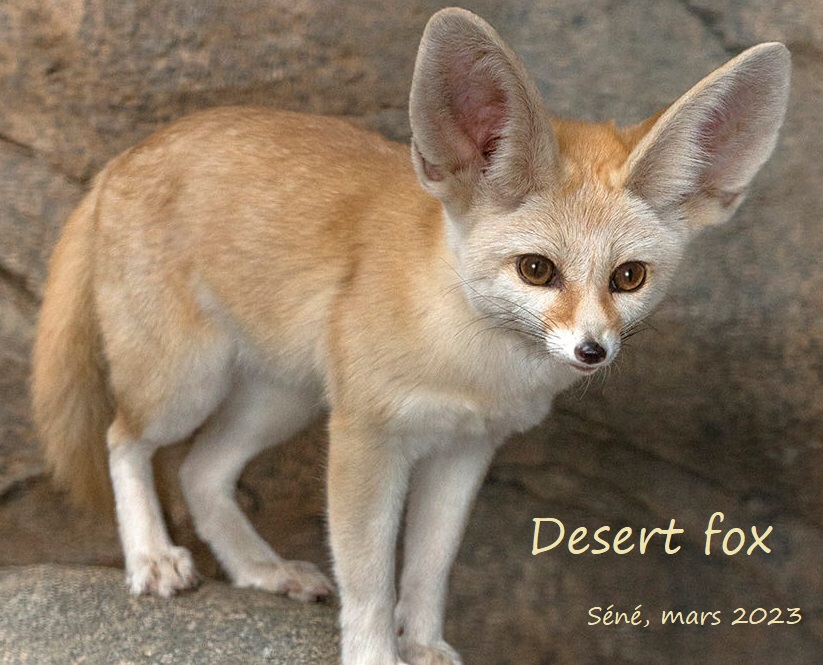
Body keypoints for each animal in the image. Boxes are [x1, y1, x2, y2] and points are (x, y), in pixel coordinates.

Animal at [31, 7, 790, 665]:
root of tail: (125, 156)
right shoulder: (367, 439)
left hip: (280, 401)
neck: (471, 366)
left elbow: (428, 570)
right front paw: (374, 654)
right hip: (186, 384)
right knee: (124, 440)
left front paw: (423, 645)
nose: (591, 351)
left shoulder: (464, 451)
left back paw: (259, 569)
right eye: (537, 269)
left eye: (628, 277)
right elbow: (370, 578)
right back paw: (152, 558)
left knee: (200, 470)